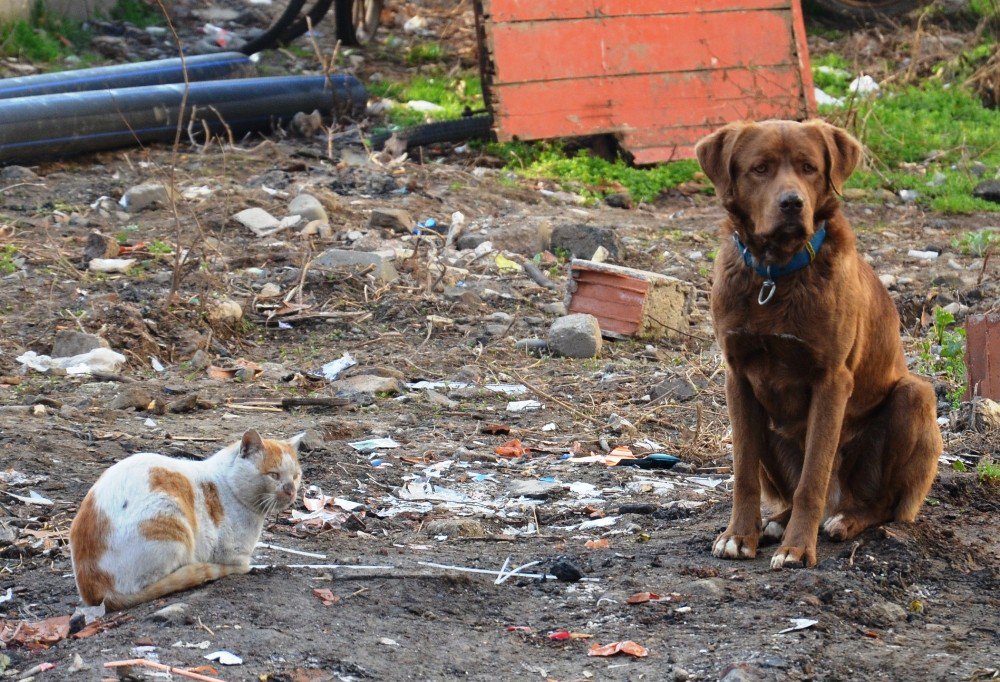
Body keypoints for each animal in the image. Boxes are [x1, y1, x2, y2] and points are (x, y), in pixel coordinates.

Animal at [69, 428, 302, 608]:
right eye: (274, 475)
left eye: (296, 476)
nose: (291, 490)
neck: (229, 485)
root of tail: (93, 590)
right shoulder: (232, 553)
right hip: (170, 519)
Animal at [692, 119, 940, 564]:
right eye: (760, 168)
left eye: (808, 168)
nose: (792, 203)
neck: (775, 275)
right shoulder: (737, 378)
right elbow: (743, 473)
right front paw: (739, 535)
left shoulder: (832, 380)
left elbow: (814, 476)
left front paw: (797, 548)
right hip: (769, 430)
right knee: (789, 490)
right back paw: (775, 521)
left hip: (914, 397)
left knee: (879, 502)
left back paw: (845, 520)